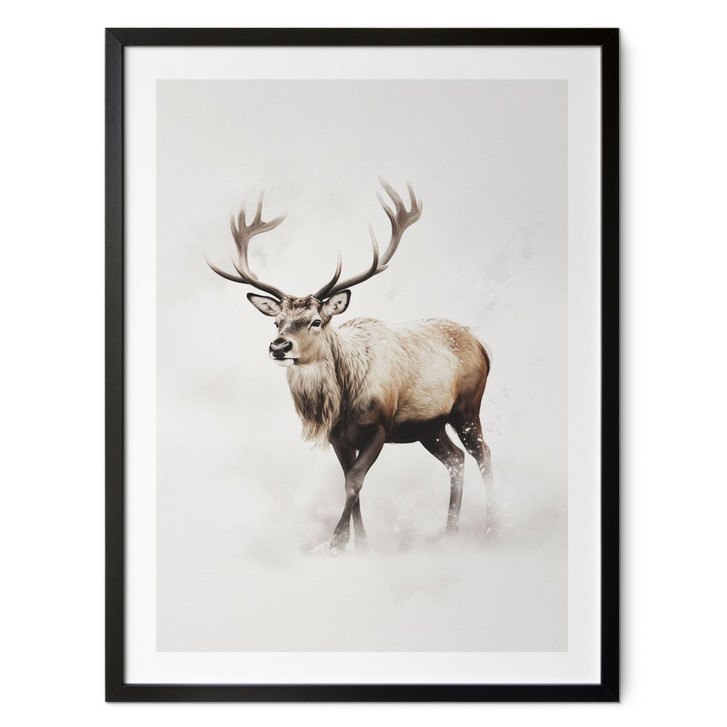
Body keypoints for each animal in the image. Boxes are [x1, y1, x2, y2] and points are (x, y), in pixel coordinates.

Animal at [208, 180, 493, 554]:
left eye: (315, 321)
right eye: (277, 322)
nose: (279, 346)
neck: (342, 401)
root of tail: (482, 346)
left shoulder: (380, 425)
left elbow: (354, 480)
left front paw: (337, 544)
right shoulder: (338, 436)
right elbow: (349, 481)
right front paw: (361, 544)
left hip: (467, 407)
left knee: (483, 454)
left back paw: (493, 526)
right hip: (428, 427)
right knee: (456, 459)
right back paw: (450, 532)